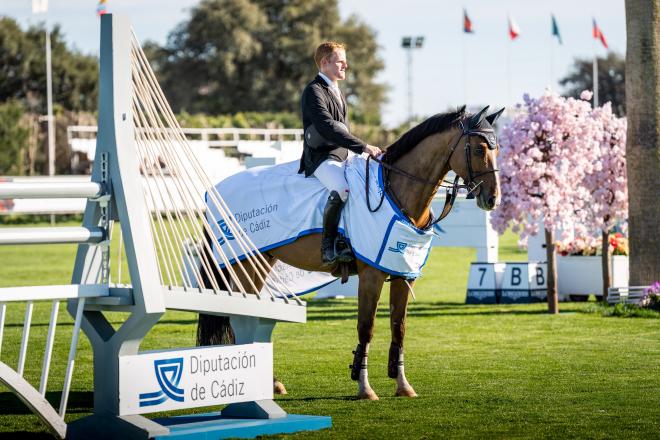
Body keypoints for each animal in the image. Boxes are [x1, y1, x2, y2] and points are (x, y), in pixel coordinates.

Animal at [199, 105, 502, 398]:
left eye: (497, 149)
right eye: (478, 149)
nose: (492, 199)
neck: (396, 190)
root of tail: (215, 190)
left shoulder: (403, 274)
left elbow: (399, 327)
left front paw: (403, 386)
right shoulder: (371, 276)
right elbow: (366, 328)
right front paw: (365, 388)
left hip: (260, 262)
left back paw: (270, 382)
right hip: (244, 265)